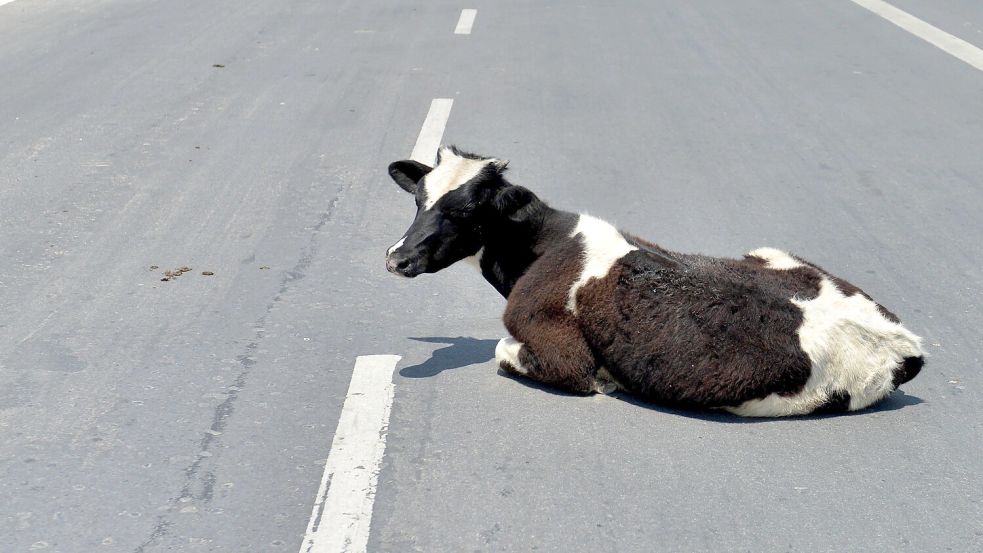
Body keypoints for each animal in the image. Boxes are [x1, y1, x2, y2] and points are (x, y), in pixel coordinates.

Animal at [388, 146, 928, 414]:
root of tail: (905, 339)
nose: (396, 258)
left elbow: (503, 352)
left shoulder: (565, 356)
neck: (544, 245)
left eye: (465, 211)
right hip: (772, 251)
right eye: (418, 199)